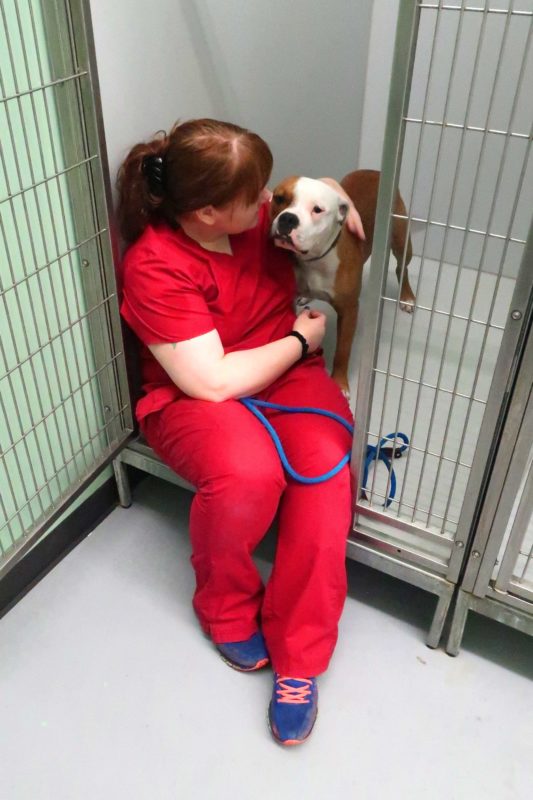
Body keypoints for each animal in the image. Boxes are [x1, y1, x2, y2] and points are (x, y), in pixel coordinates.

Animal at [270, 168, 416, 396]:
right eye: (279, 198)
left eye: (317, 209)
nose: (287, 218)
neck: (314, 260)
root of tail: (375, 171)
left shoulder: (349, 311)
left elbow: (342, 351)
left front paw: (339, 383)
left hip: (402, 242)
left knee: (402, 268)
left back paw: (407, 297)